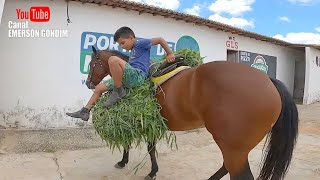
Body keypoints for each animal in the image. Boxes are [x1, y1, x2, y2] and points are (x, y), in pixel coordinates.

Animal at [86, 46, 298, 180]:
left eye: (92, 64)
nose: (89, 83)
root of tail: (269, 81)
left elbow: (138, 145)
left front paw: (137, 167)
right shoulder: (148, 125)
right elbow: (142, 145)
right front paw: (146, 168)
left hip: (232, 146)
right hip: (235, 148)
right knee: (225, 166)